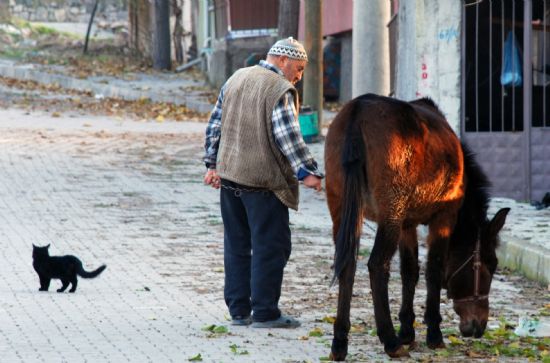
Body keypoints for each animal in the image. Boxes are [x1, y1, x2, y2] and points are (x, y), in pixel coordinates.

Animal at [326, 94, 512, 362]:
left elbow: (409, 271)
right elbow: (433, 269)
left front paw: (407, 329)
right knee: (377, 265)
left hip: (341, 207)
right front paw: (433, 332)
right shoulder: (444, 218)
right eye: (492, 264)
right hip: (390, 214)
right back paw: (390, 340)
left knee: (348, 264)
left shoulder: (407, 225)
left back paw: (340, 341)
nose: (478, 327)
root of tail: (358, 109)